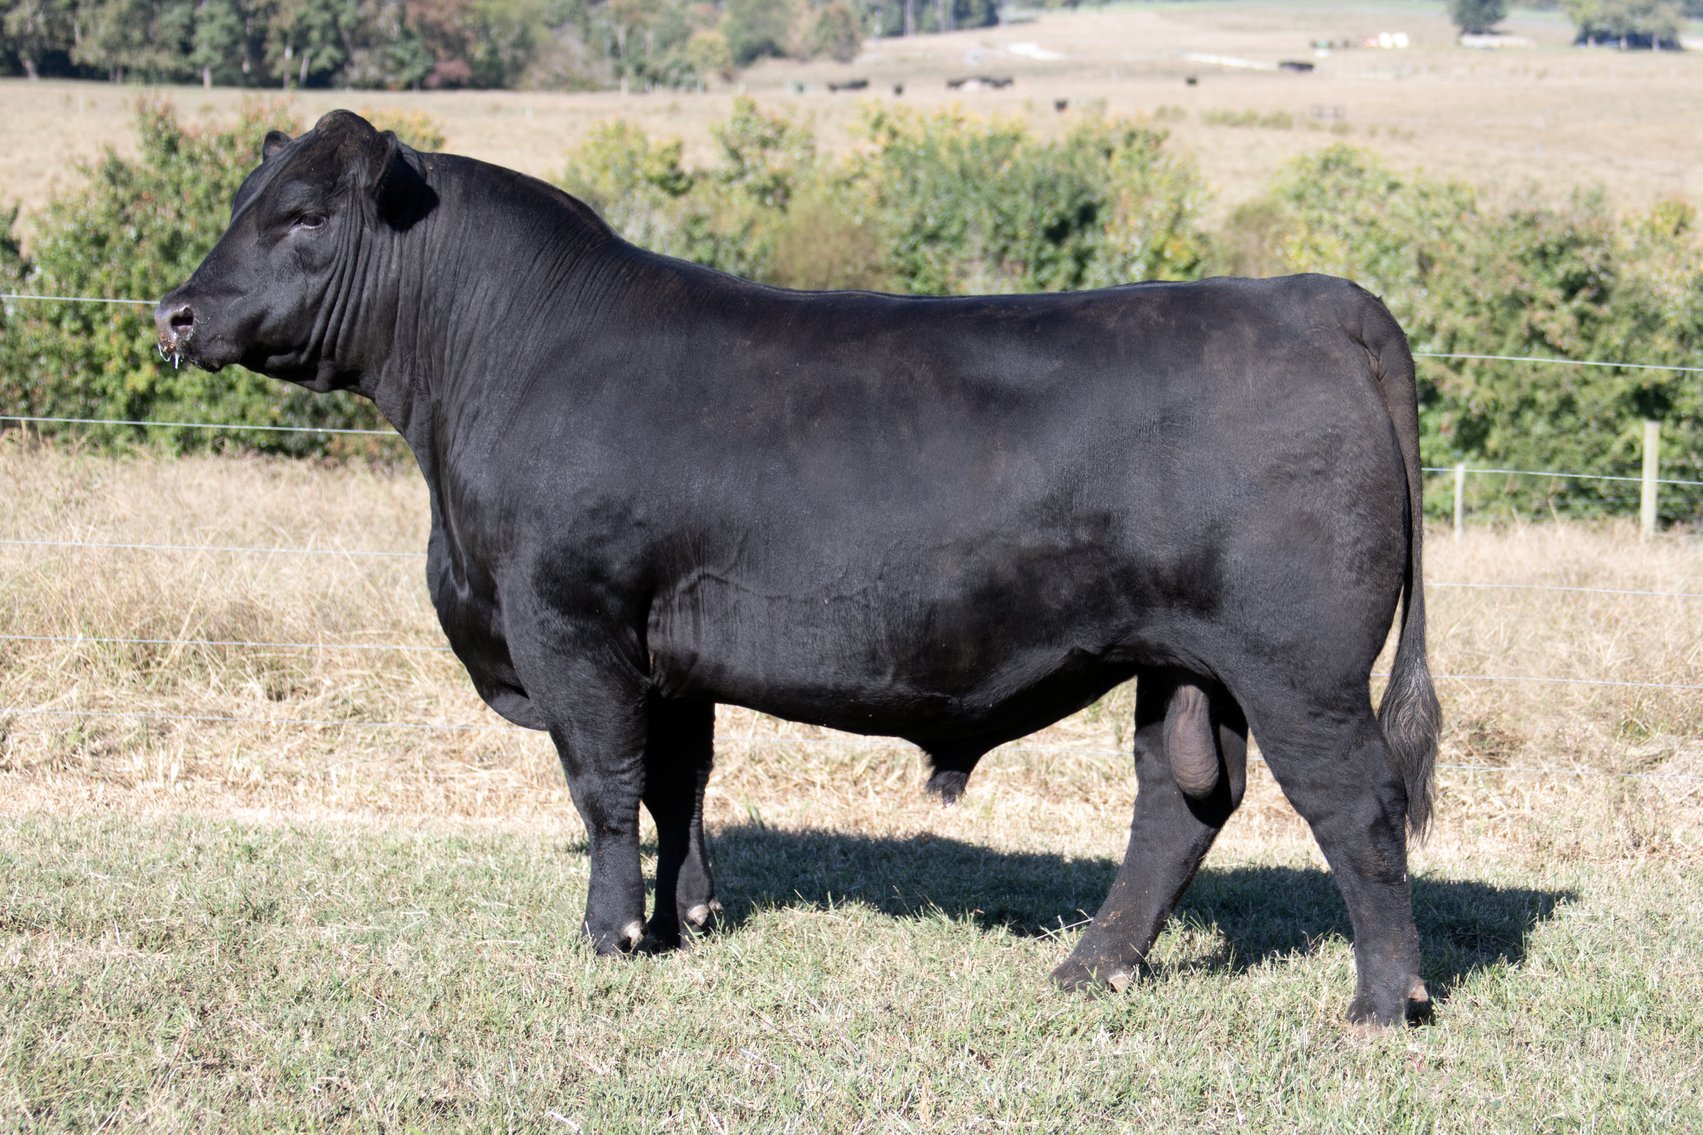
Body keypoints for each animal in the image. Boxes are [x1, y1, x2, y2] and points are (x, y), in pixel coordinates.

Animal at [155, 110, 1441, 1026]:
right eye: (242, 203)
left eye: (304, 216)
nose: (175, 314)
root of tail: (1317, 299)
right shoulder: (666, 646)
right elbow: (677, 782)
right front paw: (686, 917)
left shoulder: (568, 617)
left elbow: (603, 784)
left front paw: (610, 935)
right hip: (1186, 661)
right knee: (1178, 804)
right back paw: (1090, 967)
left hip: (1297, 664)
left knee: (1354, 804)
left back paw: (1383, 1002)